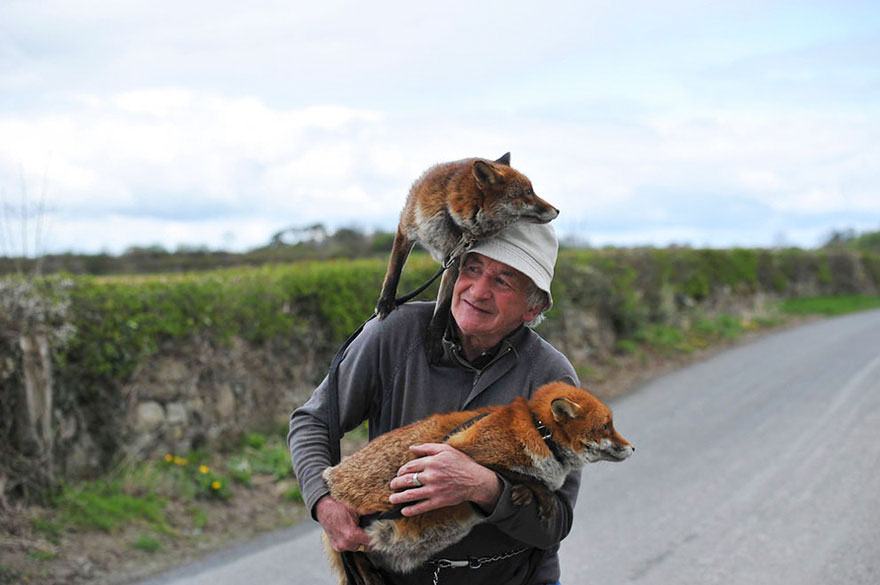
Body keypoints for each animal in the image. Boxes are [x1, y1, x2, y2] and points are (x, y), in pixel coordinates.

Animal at [324, 380, 632, 580]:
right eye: (606, 426)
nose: (633, 448)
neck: (537, 430)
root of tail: (331, 478)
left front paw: (523, 493)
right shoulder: (461, 451)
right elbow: (518, 476)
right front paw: (536, 494)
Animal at [376, 153, 556, 358]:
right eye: (528, 192)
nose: (557, 210)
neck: (452, 220)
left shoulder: (454, 260)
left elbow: (443, 306)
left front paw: (434, 339)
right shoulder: (405, 230)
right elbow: (394, 271)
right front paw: (385, 302)